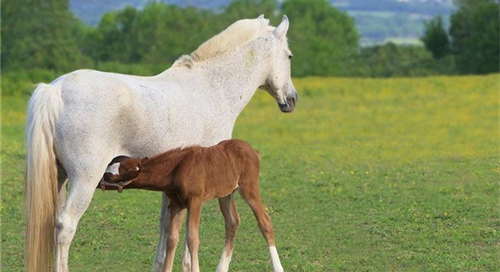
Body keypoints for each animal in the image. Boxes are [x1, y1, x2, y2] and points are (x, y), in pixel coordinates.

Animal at [102, 140, 282, 272]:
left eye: (113, 175)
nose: (100, 180)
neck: (177, 169)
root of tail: (253, 151)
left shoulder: (195, 201)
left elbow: (192, 238)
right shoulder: (177, 204)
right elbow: (172, 238)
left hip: (249, 187)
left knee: (264, 221)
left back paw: (278, 267)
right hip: (226, 193)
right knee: (232, 222)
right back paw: (221, 268)